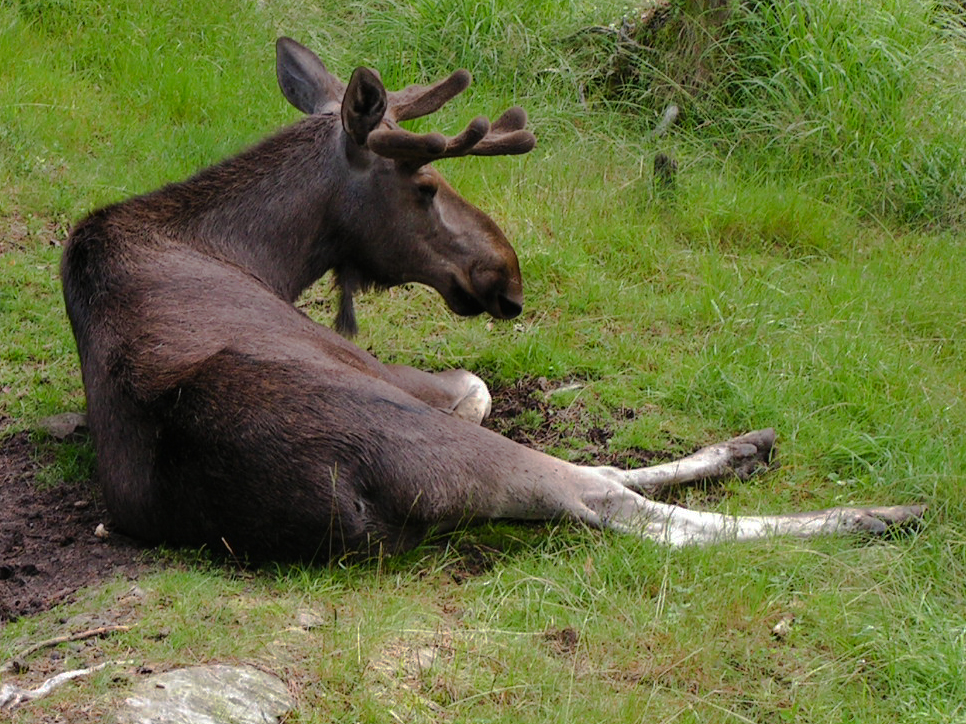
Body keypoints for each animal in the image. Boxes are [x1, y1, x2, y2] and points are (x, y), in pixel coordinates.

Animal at [58, 36, 924, 560]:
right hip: (428, 435)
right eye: (427, 185)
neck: (257, 255)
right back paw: (872, 514)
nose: (507, 275)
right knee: (604, 495)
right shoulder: (390, 370)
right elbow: (478, 387)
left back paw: (754, 452)